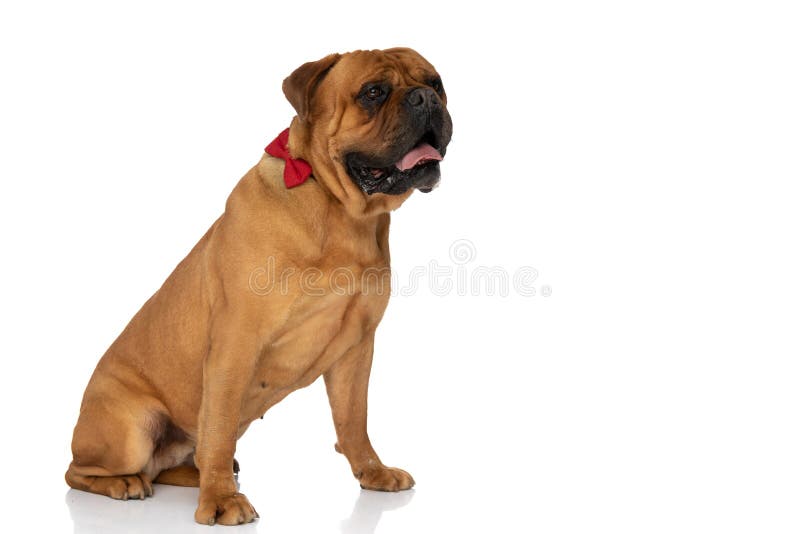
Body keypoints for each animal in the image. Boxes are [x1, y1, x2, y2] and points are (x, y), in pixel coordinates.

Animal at [65, 49, 454, 528]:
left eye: (435, 84)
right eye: (374, 92)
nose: (424, 99)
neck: (340, 210)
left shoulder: (357, 348)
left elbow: (353, 418)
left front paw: (372, 471)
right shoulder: (235, 345)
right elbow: (218, 429)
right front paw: (220, 500)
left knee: (176, 463)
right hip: (130, 430)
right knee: (80, 471)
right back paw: (127, 483)